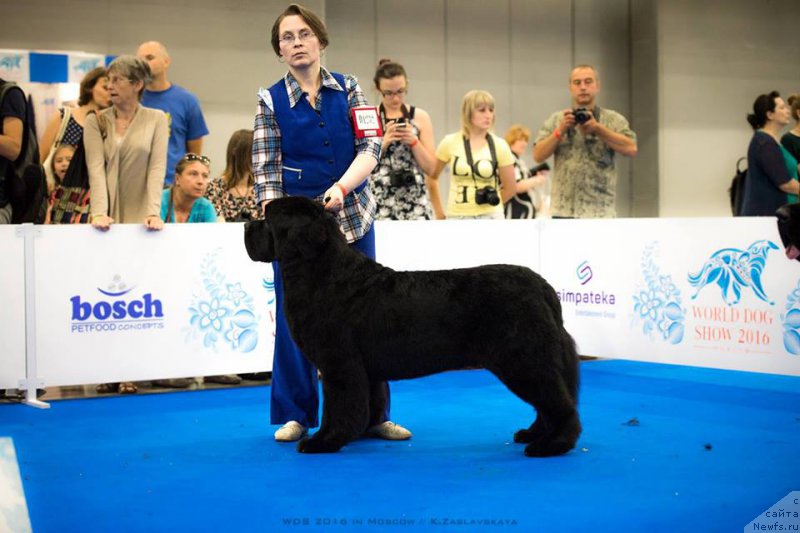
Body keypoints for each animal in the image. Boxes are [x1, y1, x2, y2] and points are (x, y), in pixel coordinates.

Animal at [244, 197, 580, 456]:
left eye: (267, 218)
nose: (246, 225)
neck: (321, 273)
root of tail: (542, 287)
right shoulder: (354, 369)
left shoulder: (339, 365)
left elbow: (338, 408)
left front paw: (323, 442)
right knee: (550, 400)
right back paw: (534, 434)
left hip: (523, 358)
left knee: (558, 403)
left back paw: (552, 445)